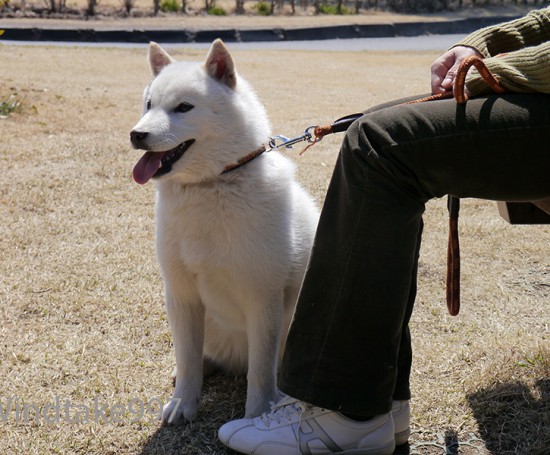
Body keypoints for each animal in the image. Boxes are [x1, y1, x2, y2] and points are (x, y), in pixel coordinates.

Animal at [130, 41, 320, 426]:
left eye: (183, 107)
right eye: (149, 104)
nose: (136, 135)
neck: (211, 184)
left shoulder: (263, 299)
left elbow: (261, 371)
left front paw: (258, 414)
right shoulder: (182, 295)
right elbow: (187, 358)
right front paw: (183, 403)